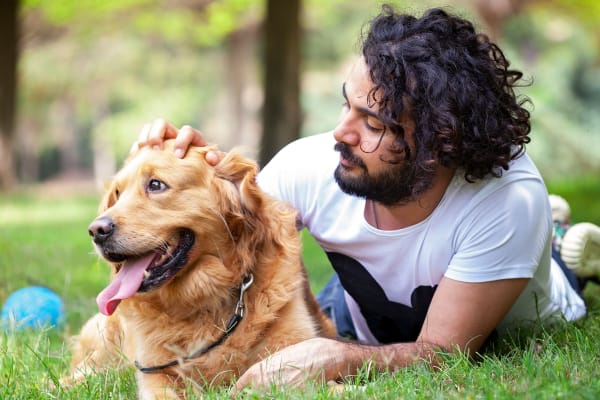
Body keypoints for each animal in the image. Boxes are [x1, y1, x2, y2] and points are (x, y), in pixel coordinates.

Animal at [62, 141, 336, 396]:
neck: (202, 298)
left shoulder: (296, 347)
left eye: (155, 185)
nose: (96, 231)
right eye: (117, 193)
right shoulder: (154, 371)